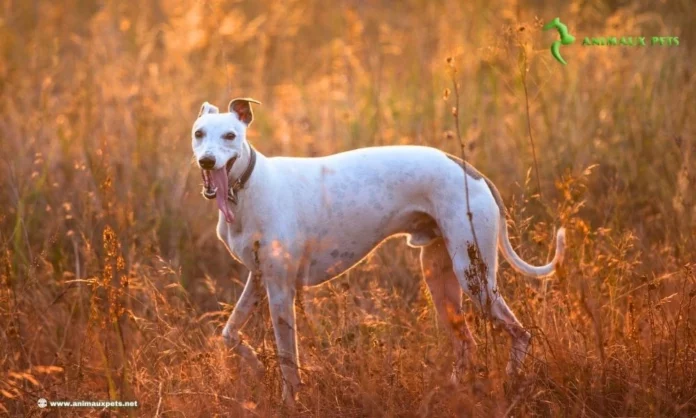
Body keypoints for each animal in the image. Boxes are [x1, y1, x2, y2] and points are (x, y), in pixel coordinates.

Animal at [190, 97, 564, 404]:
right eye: (199, 134)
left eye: (230, 136)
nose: (207, 162)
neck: (249, 186)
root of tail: (471, 171)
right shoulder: (259, 279)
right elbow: (229, 332)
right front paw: (254, 363)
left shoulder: (281, 290)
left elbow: (287, 359)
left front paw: (289, 402)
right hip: (441, 277)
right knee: (466, 343)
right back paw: (451, 392)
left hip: (475, 279)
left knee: (520, 333)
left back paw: (510, 380)